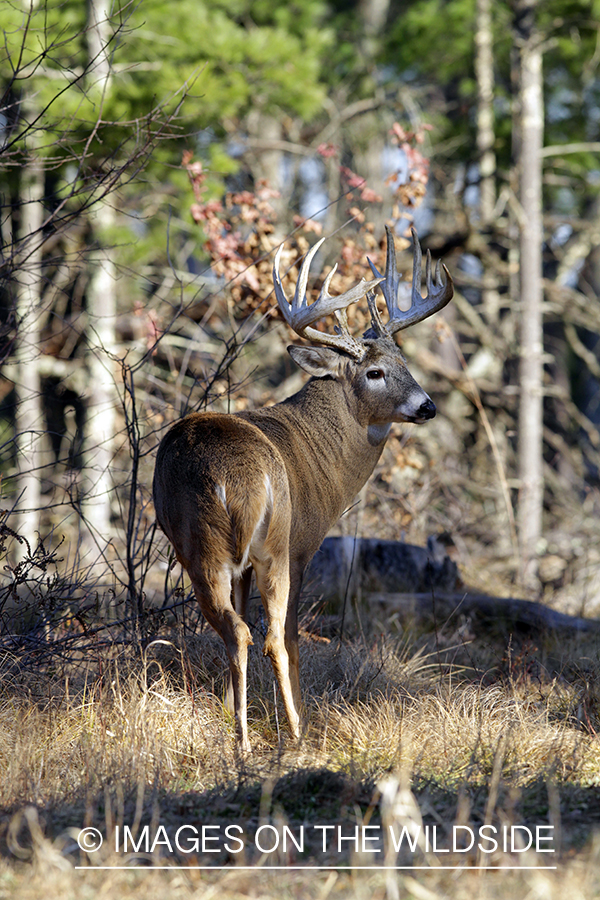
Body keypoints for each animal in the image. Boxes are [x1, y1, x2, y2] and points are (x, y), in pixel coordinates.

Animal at [152, 229, 452, 748]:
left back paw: (244, 736)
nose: (427, 406)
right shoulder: (302, 545)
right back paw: (291, 734)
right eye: (374, 373)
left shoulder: (250, 564)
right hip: (251, 546)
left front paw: (234, 708)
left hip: (218, 549)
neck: (319, 457)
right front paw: (302, 716)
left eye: (405, 363)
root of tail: (237, 480)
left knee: (239, 631)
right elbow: (292, 637)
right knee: (271, 636)